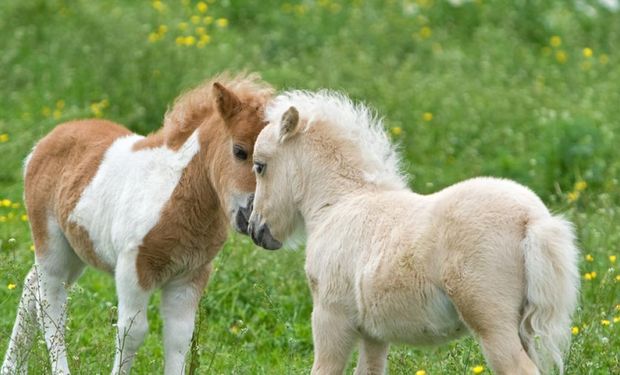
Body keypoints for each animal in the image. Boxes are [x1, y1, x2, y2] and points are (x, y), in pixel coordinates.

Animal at [0, 73, 272, 375]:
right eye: (239, 151)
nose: (252, 217)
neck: (176, 194)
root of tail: (44, 142)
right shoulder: (133, 268)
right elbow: (132, 332)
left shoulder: (191, 275)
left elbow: (179, 337)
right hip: (51, 243)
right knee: (50, 302)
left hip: (76, 250)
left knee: (31, 286)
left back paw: (10, 367)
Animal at [248, 92, 580, 375]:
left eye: (259, 166)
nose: (255, 229)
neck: (340, 202)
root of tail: (532, 219)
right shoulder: (373, 333)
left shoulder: (331, 316)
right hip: (521, 327)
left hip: (491, 322)